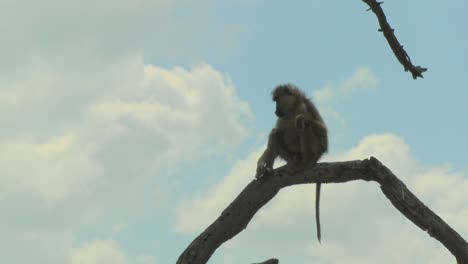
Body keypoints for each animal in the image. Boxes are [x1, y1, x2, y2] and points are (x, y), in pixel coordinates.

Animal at [256, 83, 330, 242]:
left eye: (277, 100)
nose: (275, 111)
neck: (293, 109)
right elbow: (277, 131)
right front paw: (260, 166)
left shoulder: (306, 106)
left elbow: (322, 133)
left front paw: (300, 118)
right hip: (289, 155)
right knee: (275, 133)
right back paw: (267, 169)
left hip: (314, 152)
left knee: (304, 126)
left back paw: (305, 163)